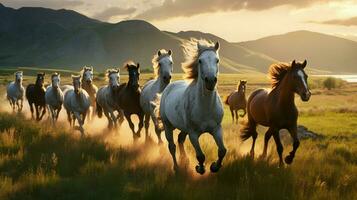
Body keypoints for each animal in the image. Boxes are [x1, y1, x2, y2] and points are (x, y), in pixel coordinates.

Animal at [155, 39, 225, 174]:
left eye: (217, 60)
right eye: (200, 60)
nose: (210, 81)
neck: (205, 107)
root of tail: (168, 88)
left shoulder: (217, 129)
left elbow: (222, 151)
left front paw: (214, 167)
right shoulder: (193, 133)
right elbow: (201, 156)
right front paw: (200, 168)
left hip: (184, 128)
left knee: (180, 139)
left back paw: (185, 161)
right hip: (168, 126)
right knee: (172, 146)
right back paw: (177, 167)